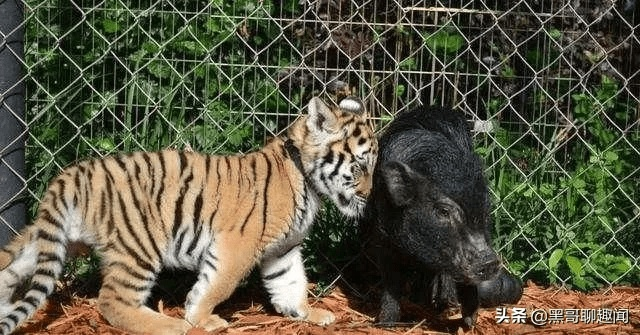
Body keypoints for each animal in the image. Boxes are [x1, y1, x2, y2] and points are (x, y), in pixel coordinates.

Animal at [362, 107, 524, 328]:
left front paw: (469, 324)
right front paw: (386, 324)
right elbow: (391, 281)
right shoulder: (383, 235)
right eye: (443, 211)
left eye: (484, 209)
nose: (490, 262)